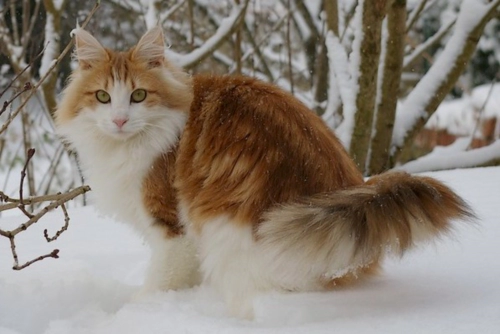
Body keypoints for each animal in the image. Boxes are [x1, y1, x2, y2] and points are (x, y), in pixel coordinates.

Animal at [54, 26, 472, 318]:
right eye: (103, 97)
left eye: (138, 95)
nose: (120, 120)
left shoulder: (172, 229)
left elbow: (160, 280)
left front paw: (137, 310)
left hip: (225, 230)